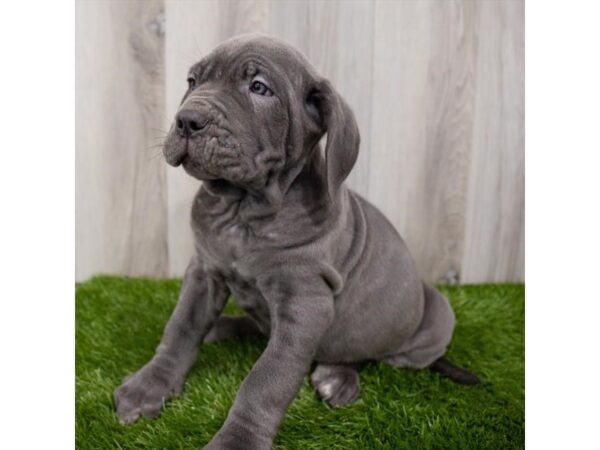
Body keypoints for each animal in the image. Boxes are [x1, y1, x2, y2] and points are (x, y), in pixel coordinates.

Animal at [113, 35, 478, 450]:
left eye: (259, 88)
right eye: (193, 81)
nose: (187, 120)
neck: (242, 211)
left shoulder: (306, 303)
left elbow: (266, 379)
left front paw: (237, 441)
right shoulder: (204, 271)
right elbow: (180, 329)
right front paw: (149, 387)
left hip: (435, 317)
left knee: (367, 351)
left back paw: (337, 377)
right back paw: (223, 327)